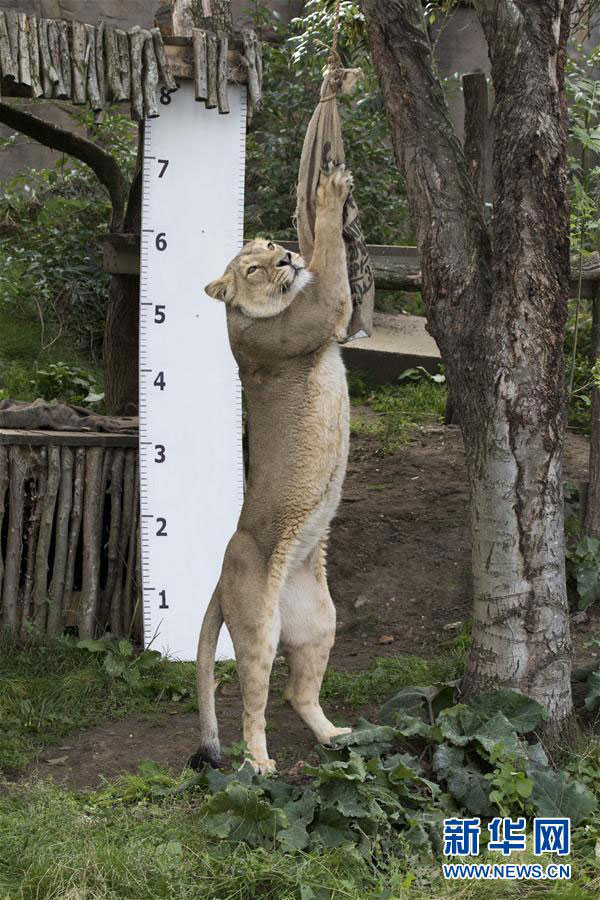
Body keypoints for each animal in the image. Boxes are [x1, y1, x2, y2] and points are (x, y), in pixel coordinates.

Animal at [190, 162, 354, 772]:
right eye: (256, 268)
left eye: (265, 246)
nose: (284, 257)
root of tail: (218, 577)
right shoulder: (324, 308)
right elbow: (330, 255)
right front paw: (329, 192)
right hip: (258, 628)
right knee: (252, 703)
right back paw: (259, 763)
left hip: (320, 622)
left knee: (295, 692)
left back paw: (336, 736)